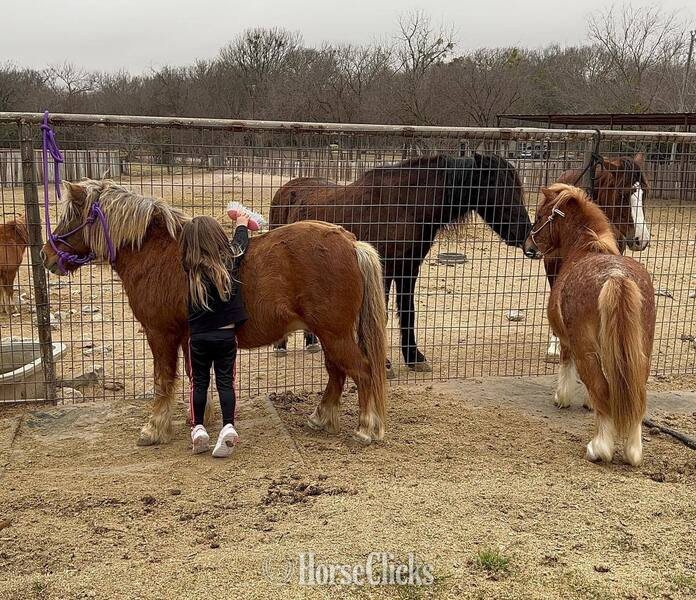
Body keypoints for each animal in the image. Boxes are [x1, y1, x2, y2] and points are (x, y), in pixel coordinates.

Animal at [40, 180, 388, 445]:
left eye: (71, 217)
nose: (46, 255)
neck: (158, 255)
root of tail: (352, 243)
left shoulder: (160, 334)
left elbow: (163, 380)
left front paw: (154, 428)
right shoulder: (188, 336)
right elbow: (195, 377)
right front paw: (197, 417)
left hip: (334, 333)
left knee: (362, 371)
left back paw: (366, 429)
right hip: (329, 334)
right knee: (337, 372)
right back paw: (322, 417)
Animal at [269, 153, 532, 373]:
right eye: (500, 189)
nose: (525, 234)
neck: (405, 205)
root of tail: (287, 188)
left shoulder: (409, 268)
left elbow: (408, 311)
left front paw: (414, 357)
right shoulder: (384, 269)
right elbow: (381, 315)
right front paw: (383, 363)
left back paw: (311, 342)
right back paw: (281, 345)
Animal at [523, 183, 655, 466]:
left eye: (539, 216)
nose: (529, 246)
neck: (585, 248)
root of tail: (616, 278)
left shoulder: (566, 339)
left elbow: (566, 365)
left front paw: (562, 397)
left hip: (585, 349)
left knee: (602, 389)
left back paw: (599, 448)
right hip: (641, 352)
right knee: (636, 394)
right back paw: (633, 451)